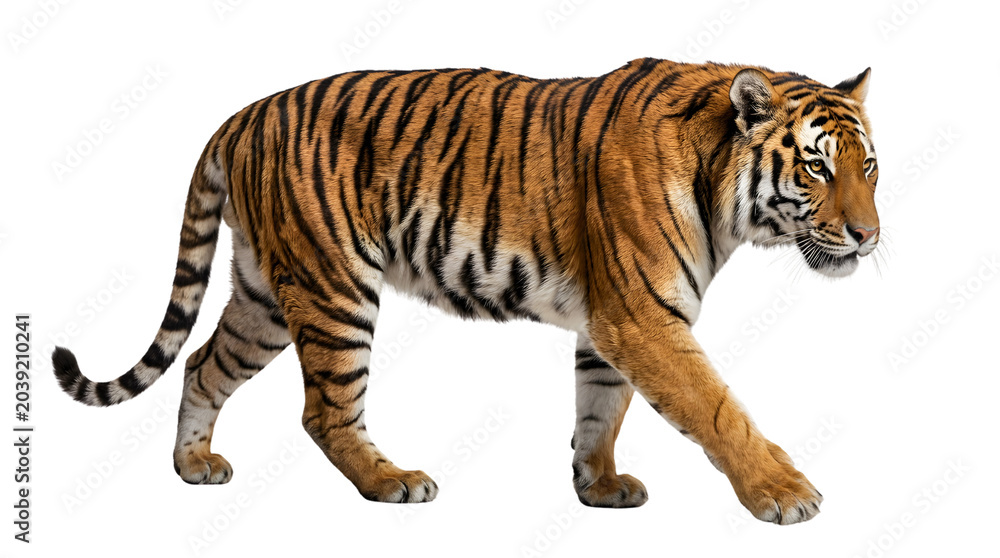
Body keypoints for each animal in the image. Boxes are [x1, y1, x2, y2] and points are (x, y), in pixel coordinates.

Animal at [52, 57, 879, 525]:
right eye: (816, 167)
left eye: (867, 166)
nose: (870, 237)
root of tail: (242, 115)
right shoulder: (643, 317)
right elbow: (717, 409)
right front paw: (784, 494)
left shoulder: (611, 324)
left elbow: (599, 411)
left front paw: (600, 487)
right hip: (334, 288)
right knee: (324, 410)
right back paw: (391, 482)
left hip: (265, 293)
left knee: (200, 366)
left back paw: (194, 466)